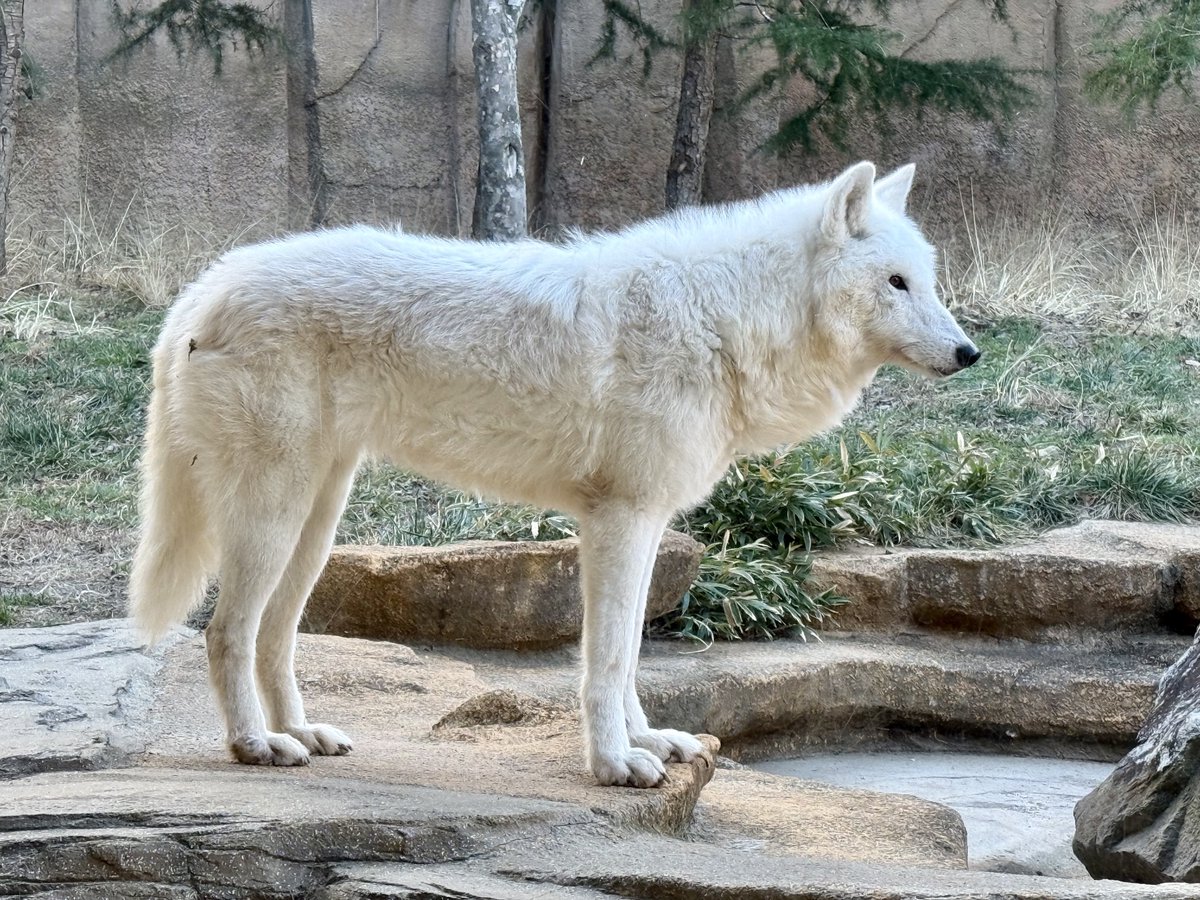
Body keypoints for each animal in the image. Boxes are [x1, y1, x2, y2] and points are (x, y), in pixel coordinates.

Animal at [129, 161, 979, 787]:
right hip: (274, 515)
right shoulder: (619, 518)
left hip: (317, 518)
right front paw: (613, 765)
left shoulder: (645, 521)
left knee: (274, 635)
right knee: (226, 632)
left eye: (928, 280)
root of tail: (204, 286)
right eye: (896, 282)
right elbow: (604, 659)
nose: (969, 352)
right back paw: (255, 747)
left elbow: (630, 655)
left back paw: (300, 733)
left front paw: (649, 743)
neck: (727, 318)